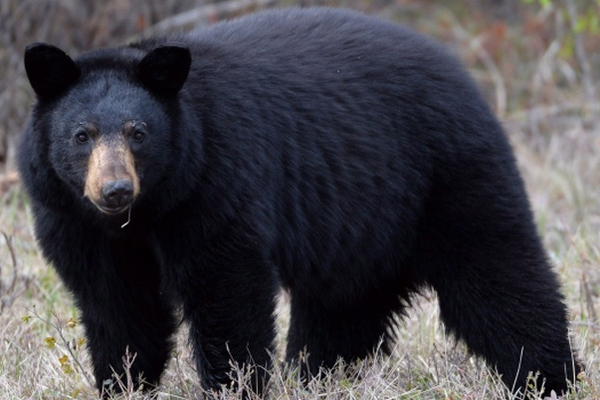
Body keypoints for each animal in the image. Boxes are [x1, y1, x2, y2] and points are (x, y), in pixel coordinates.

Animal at [18, 6, 580, 396]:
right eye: (81, 135)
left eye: (139, 133)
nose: (115, 191)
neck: (147, 213)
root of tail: (461, 73)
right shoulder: (75, 222)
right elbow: (119, 307)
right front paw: (123, 383)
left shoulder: (215, 185)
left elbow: (227, 290)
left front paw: (233, 385)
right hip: (361, 229)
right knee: (343, 312)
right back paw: (319, 377)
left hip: (449, 178)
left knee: (500, 279)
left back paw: (551, 378)